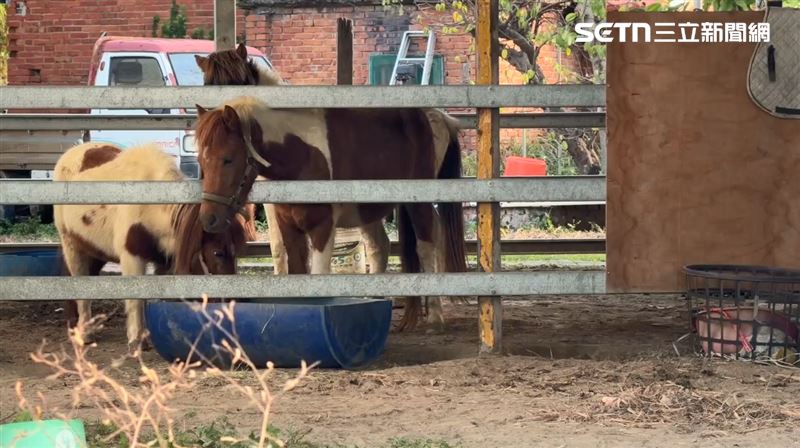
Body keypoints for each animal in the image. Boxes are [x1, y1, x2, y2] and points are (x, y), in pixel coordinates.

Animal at [54, 142, 248, 351]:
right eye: (217, 253)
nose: (232, 303)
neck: (151, 206)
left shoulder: (163, 260)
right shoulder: (131, 257)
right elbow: (136, 299)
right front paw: (136, 341)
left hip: (96, 251)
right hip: (72, 246)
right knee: (79, 285)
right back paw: (85, 333)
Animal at [194, 44, 468, 331]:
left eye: (228, 159)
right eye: (202, 158)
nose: (209, 218)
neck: (300, 153)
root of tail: (438, 117)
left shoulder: (322, 227)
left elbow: (319, 274)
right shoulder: (288, 225)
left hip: (419, 204)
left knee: (427, 245)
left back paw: (435, 316)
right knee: (380, 246)